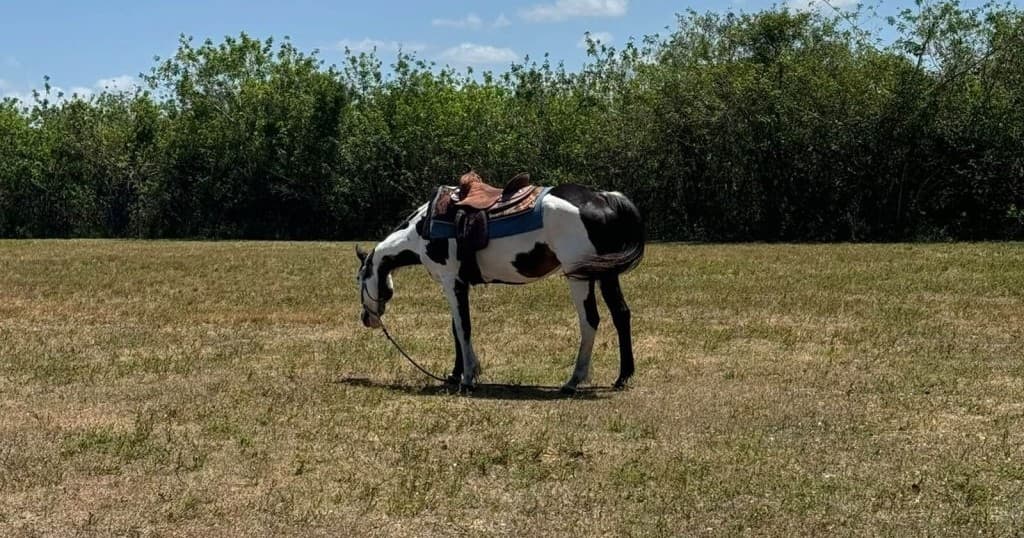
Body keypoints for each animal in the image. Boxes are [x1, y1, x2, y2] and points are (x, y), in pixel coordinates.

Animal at [355, 175, 644, 393]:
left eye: (359, 280)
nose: (366, 319)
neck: (422, 228)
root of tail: (601, 197)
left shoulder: (451, 282)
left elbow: (463, 328)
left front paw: (468, 378)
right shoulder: (459, 284)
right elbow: (456, 329)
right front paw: (457, 374)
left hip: (579, 276)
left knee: (590, 320)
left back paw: (573, 381)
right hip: (606, 274)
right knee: (621, 314)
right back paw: (623, 377)